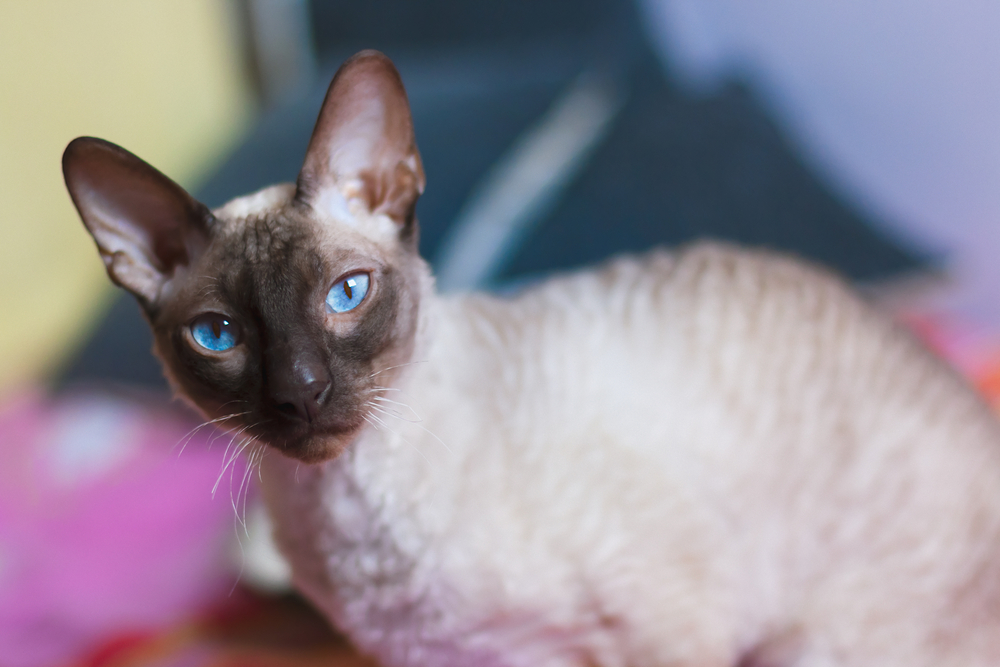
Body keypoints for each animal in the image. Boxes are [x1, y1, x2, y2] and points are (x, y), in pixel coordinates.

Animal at [60, 51, 1000, 667]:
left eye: (346, 293)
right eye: (220, 336)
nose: (301, 392)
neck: (354, 524)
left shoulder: (663, 635)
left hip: (817, 645)